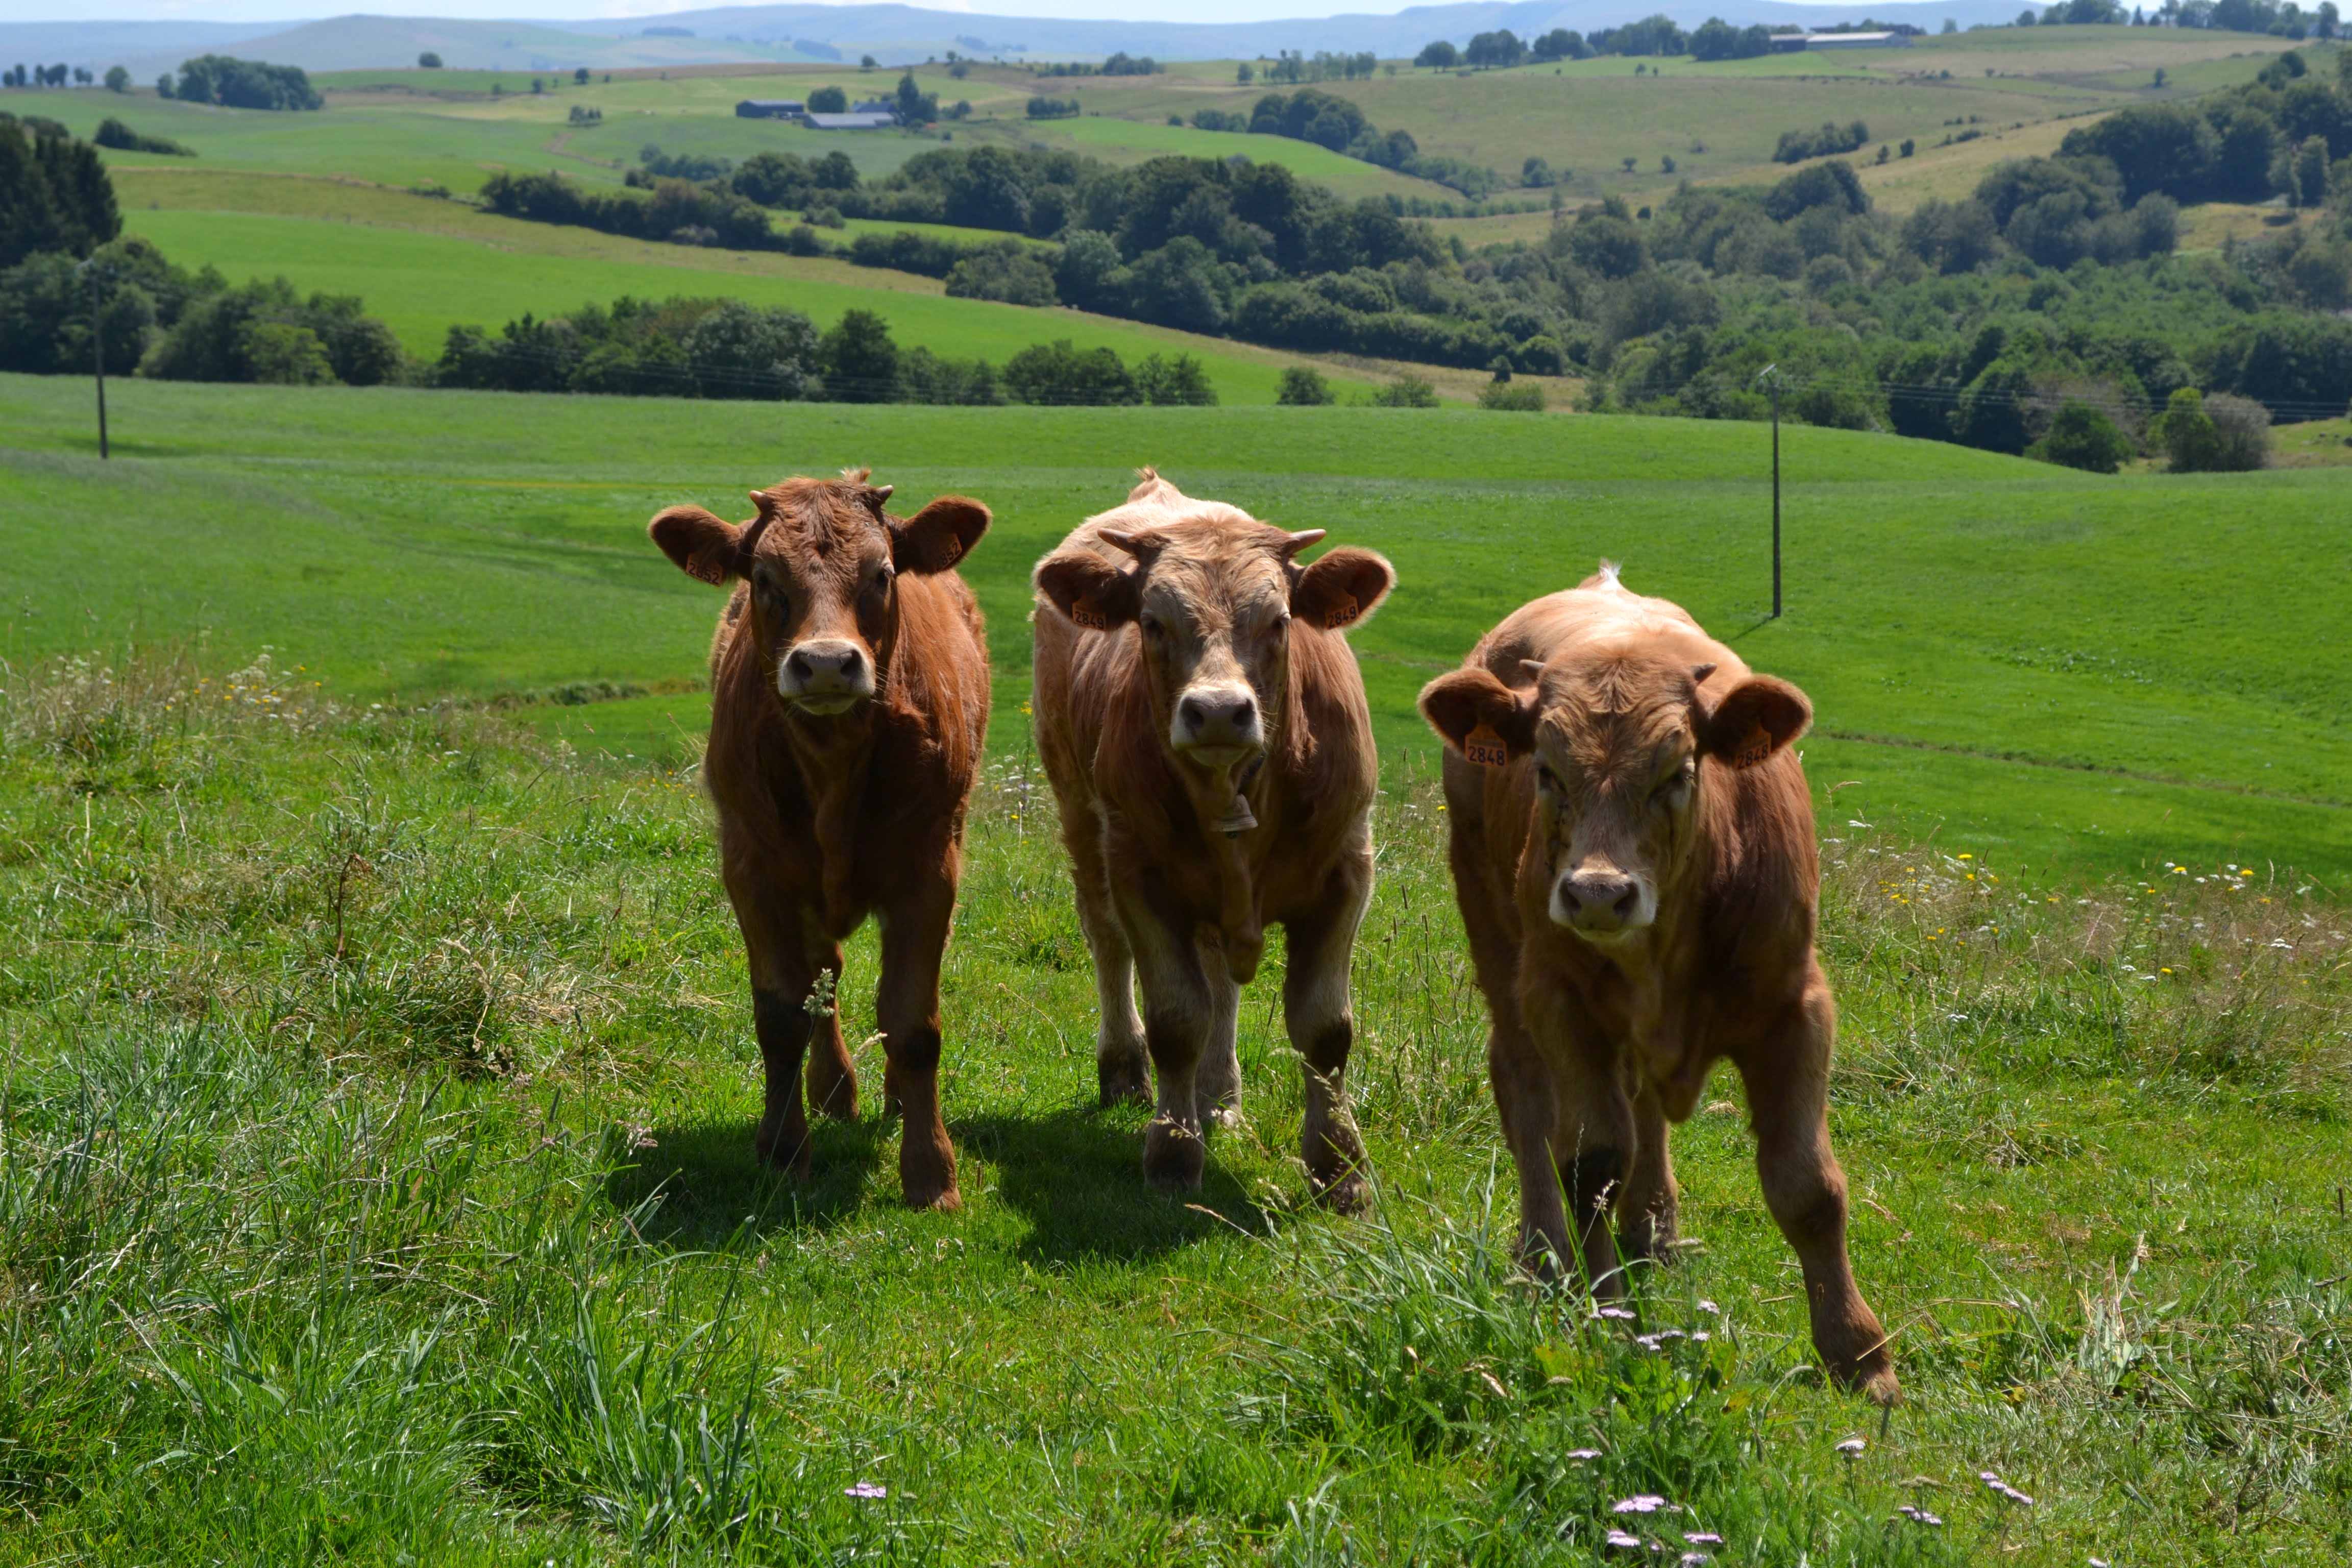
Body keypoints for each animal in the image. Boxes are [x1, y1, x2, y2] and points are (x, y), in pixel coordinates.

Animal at [649, 470, 997, 1213]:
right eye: (764, 578)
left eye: (883, 574)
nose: (830, 664)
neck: (835, 762)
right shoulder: (753, 868)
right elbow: (784, 1015)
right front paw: (784, 1153)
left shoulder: (930, 868)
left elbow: (913, 1022)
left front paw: (931, 1171)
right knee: (825, 978)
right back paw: (833, 1090)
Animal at [1035, 472, 1392, 1213]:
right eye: (1152, 623)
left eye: (1279, 621)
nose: (1220, 711)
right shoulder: (1138, 872)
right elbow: (1176, 1019)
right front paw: (1173, 1153)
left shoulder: (1348, 868)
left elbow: (1325, 1029)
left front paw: (1340, 1170)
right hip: (1079, 816)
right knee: (1107, 942)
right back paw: (1126, 1068)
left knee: (1219, 978)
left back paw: (1218, 1097)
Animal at [1411, 571, 1891, 1401]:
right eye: (1546, 770)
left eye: (1679, 772)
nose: (1599, 894)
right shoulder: (1558, 999)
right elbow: (1591, 1163)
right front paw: (1605, 1317)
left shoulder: (1796, 1007)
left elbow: (1808, 1187)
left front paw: (1858, 1355)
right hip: (1496, 935)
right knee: (1527, 1093)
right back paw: (1545, 1256)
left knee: (1641, 1114)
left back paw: (1653, 1231)